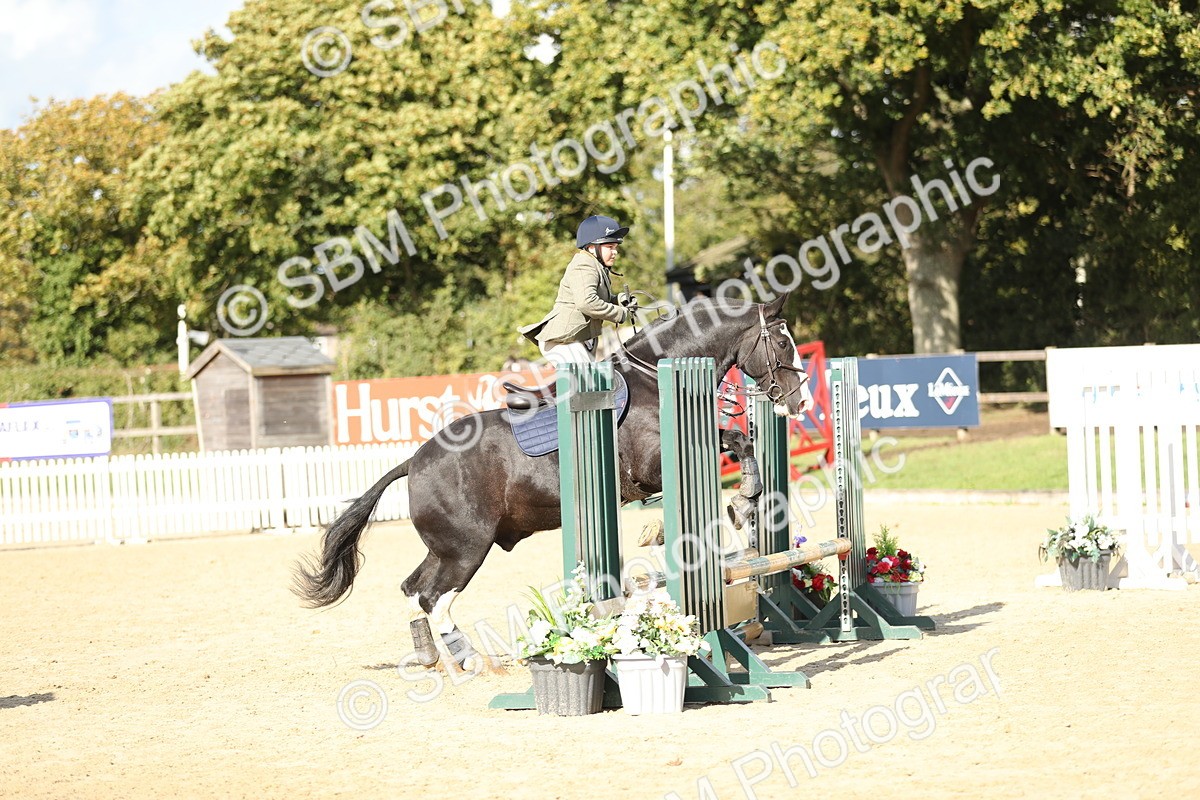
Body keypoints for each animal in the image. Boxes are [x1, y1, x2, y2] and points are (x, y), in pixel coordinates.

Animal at [293, 293, 814, 666]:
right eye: (782, 343)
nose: (800, 402)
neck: (655, 380)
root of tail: (414, 461)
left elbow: (738, 443)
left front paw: (743, 502)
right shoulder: (651, 468)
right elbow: (722, 452)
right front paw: (733, 504)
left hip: (445, 546)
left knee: (411, 588)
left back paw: (428, 656)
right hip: (467, 547)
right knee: (433, 597)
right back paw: (470, 661)